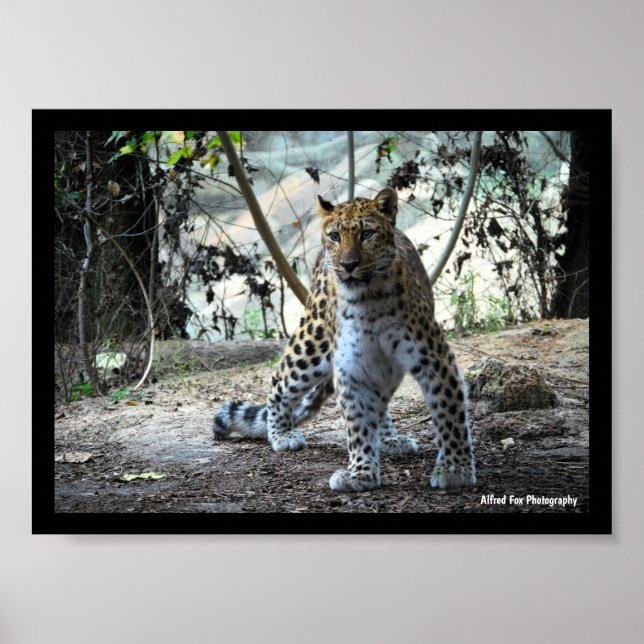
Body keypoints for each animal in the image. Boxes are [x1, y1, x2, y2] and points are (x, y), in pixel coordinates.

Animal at [213, 187, 476, 492]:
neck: (369, 302)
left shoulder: (433, 358)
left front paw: (454, 468)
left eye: (367, 234)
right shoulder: (353, 368)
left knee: (381, 405)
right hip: (313, 342)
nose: (348, 265)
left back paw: (389, 439)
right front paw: (360, 472)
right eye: (335, 236)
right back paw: (280, 435)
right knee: (280, 380)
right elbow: (357, 423)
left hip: (383, 366)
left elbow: (449, 413)